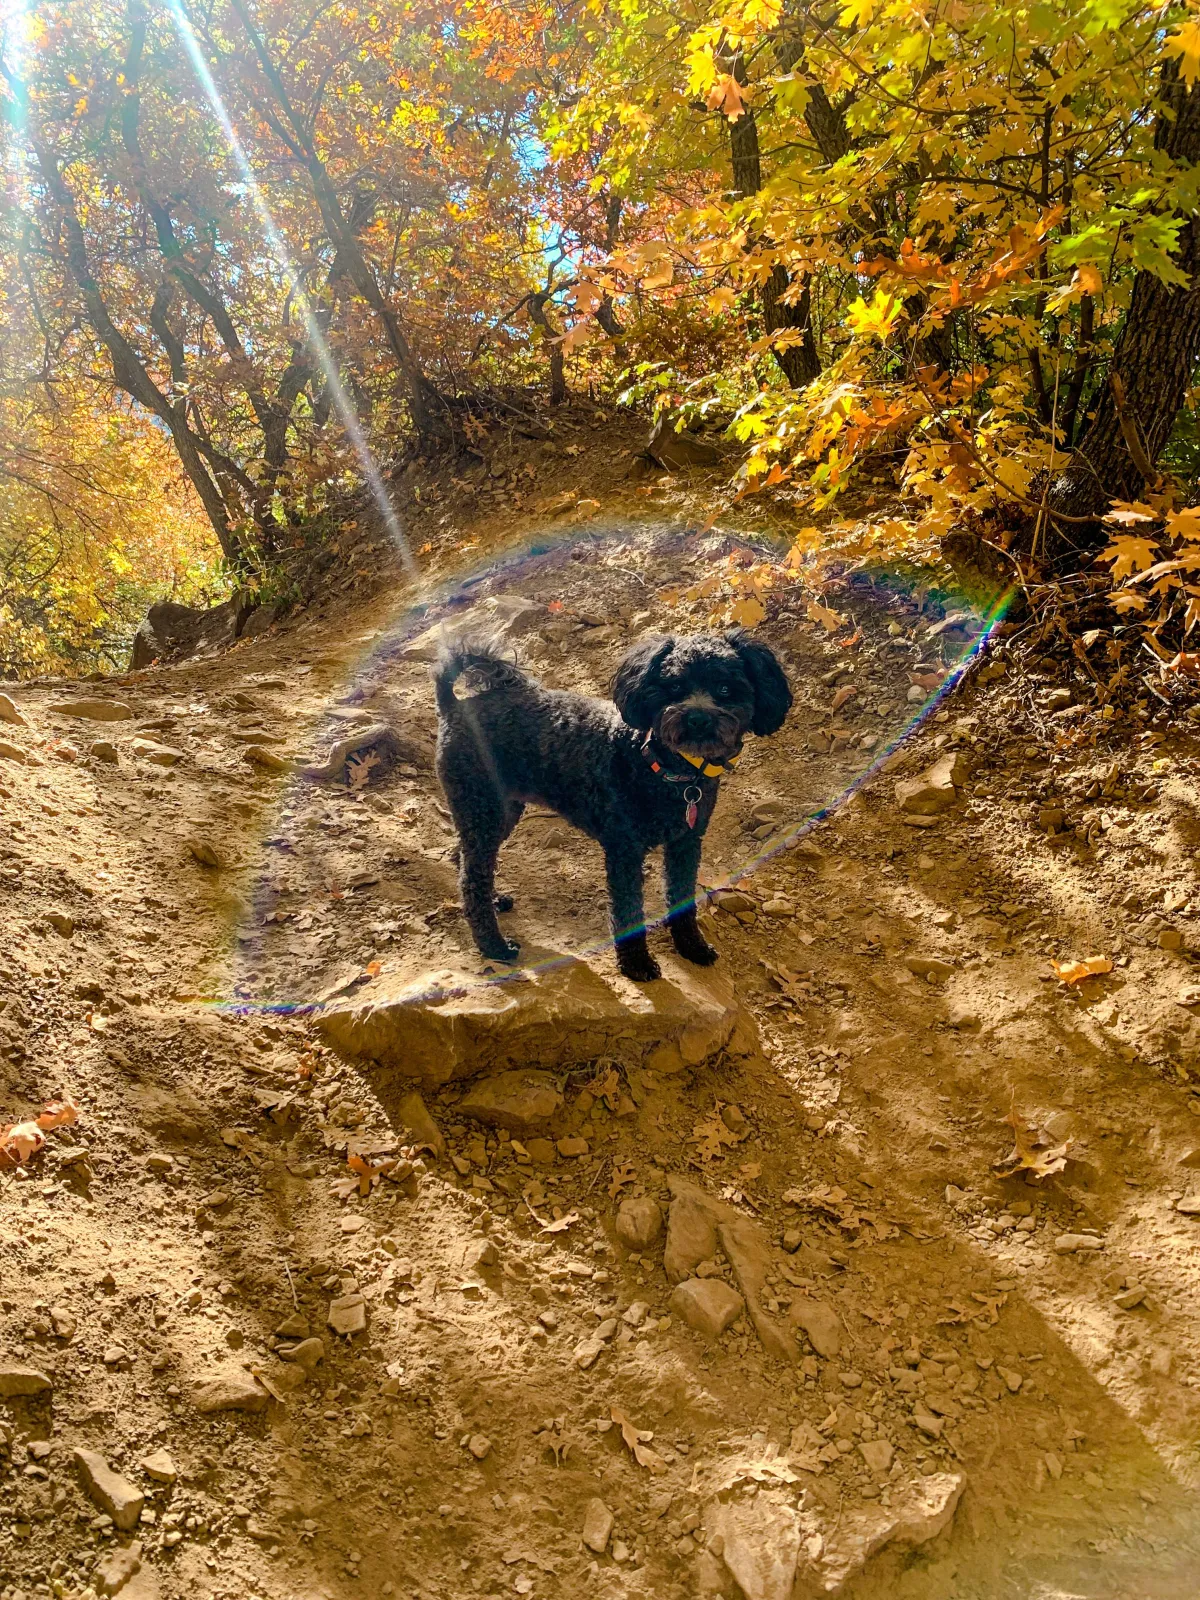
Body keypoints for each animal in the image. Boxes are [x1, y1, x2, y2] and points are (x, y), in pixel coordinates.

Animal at [438, 627, 793, 979]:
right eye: (674, 687)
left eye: (725, 688)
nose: (697, 719)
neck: (667, 770)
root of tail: (453, 705)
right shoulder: (625, 851)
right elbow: (628, 910)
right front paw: (637, 963)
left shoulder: (686, 843)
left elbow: (682, 898)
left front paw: (691, 946)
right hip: (481, 806)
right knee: (472, 878)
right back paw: (494, 946)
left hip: (500, 810)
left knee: (463, 859)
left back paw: (494, 902)